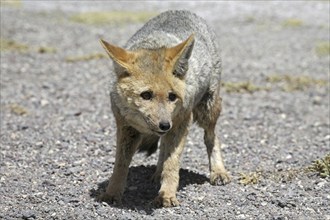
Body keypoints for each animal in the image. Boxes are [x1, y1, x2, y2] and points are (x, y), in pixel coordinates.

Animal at [99, 9, 231, 206]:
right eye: (146, 95)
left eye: (172, 97)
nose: (164, 125)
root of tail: (183, 11)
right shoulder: (125, 127)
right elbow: (120, 164)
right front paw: (112, 193)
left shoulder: (181, 124)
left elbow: (172, 164)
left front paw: (167, 194)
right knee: (163, 146)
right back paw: (157, 173)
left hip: (206, 112)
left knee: (212, 138)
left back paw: (218, 172)